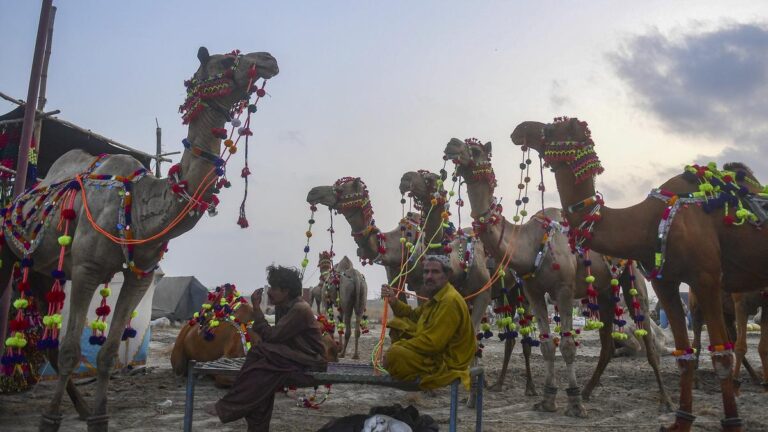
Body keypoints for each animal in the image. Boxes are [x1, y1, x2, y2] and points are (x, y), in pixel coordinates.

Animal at [0, 47, 278, 432]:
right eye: (225, 59)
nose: (268, 59)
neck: (138, 204)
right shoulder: (86, 268)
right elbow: (72, 349)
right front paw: (50, 419)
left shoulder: (140, 274)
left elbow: (107, 352)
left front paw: (99, 418)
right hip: (7, 253)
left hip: (41, 272)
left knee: (47, 342)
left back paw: (81, 408)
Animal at [400, 170, 536, 394]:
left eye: (431, 179)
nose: (405, 178)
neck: (457, 262)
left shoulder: (482, 294)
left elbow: (471, 335)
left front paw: (469, 389)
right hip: (504, 297)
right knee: (510, 337)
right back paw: (498, 383)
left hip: (521, 293)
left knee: (525, 338)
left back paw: (530, 388)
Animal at [444, 138, 672, 416]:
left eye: (475, 150)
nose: (452, 144)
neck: (531, 243)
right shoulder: (532, 291)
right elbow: (545, 345)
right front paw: (548, 398)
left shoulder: (563, 290)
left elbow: (566, 345)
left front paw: (573, 403)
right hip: (605, 292)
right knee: (607, 345)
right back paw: (587, 391)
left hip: (633, 280)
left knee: (648, 341)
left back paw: (665, 400)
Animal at [512, 115, 768, 432]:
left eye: (551, 127)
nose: (519, 129)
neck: (647, 220)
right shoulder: (665, 282)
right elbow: (683, 354)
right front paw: (679, 423)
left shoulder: (706, 277)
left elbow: (721, 353)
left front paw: (732, 423)